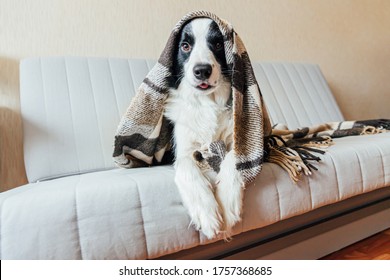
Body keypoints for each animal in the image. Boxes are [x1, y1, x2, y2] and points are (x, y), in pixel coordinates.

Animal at [164, 18, 244, 240]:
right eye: (185, 46)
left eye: (217, 44)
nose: (202, 70)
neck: (208, 102)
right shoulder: (182, 150)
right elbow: (185, 165)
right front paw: (207, 214)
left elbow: (234, 156)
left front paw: (226, 203)